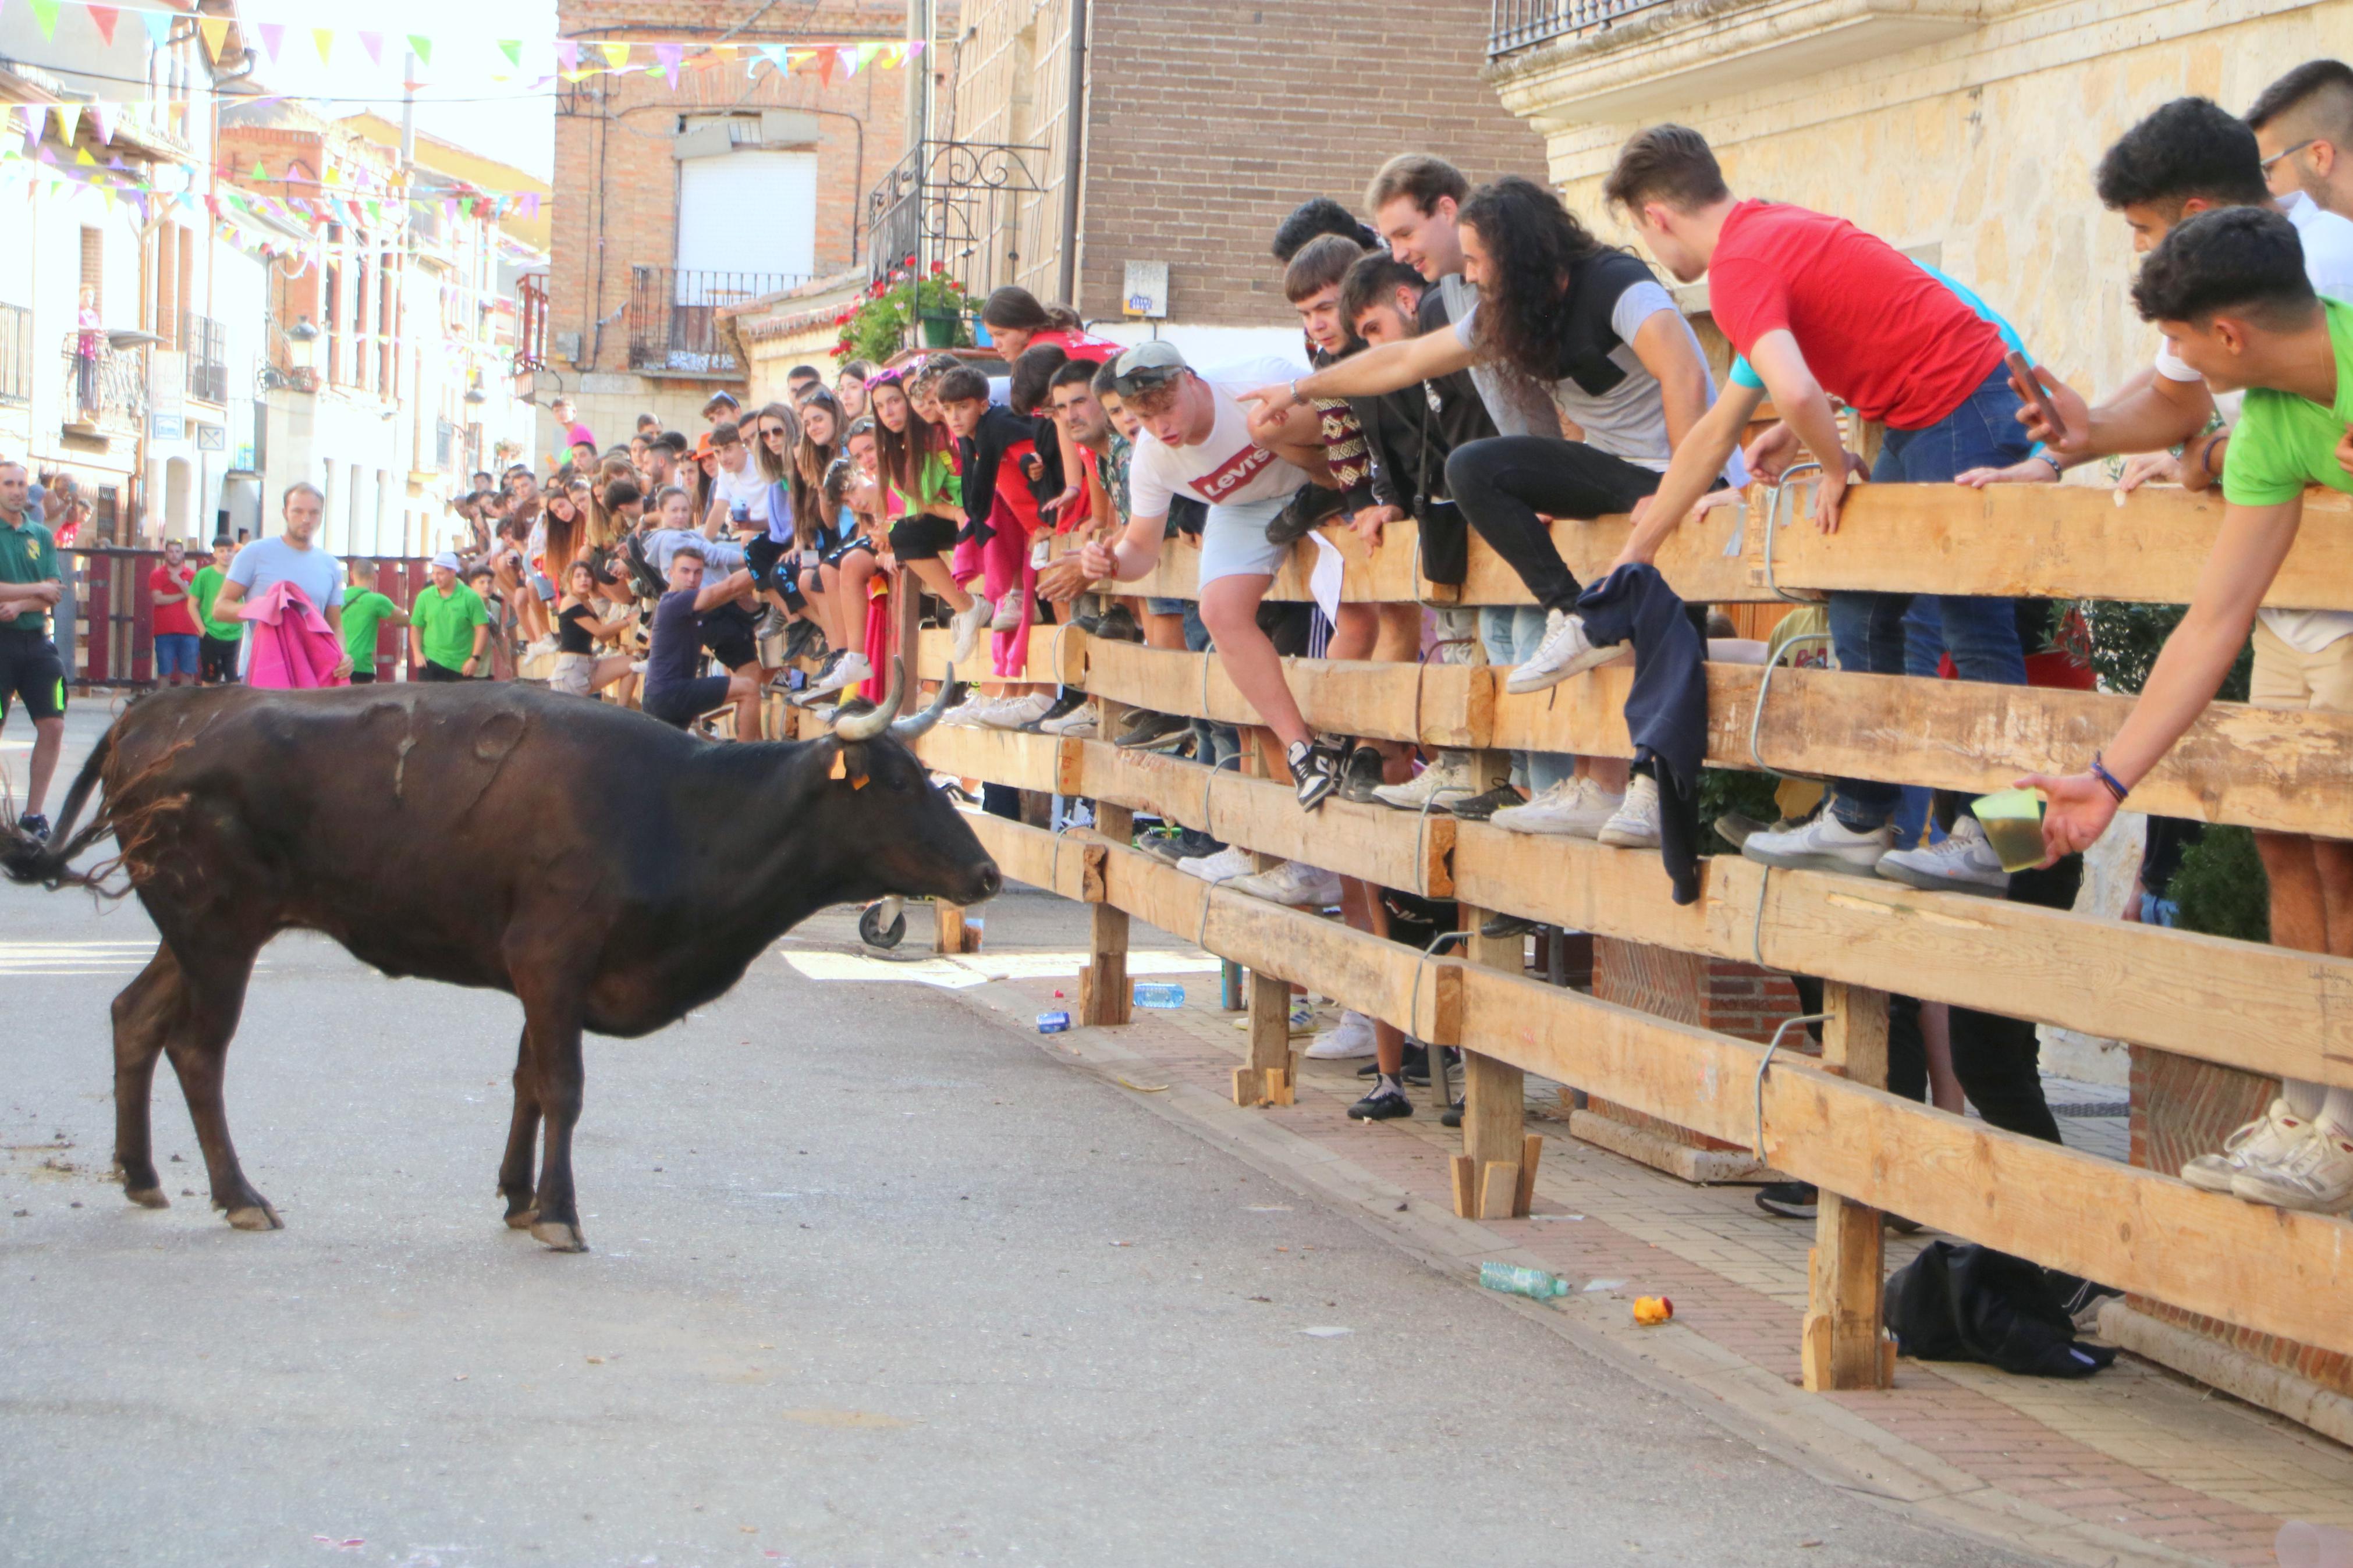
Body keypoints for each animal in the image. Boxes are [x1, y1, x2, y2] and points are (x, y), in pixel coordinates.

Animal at [0, 663, 998, 1250]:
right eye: (897, 782)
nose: (987, 871)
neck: (679, 809)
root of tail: (168, 707)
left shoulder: (538, 973)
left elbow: (526, 1080)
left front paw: (518, 1196)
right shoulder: (553, 957)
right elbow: (563, 1085)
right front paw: (558, 1211)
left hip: (197, 929)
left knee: (134, 1017)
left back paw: (140, 1175)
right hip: (218, 924)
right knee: (197, 1049)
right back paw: (239, 1192)